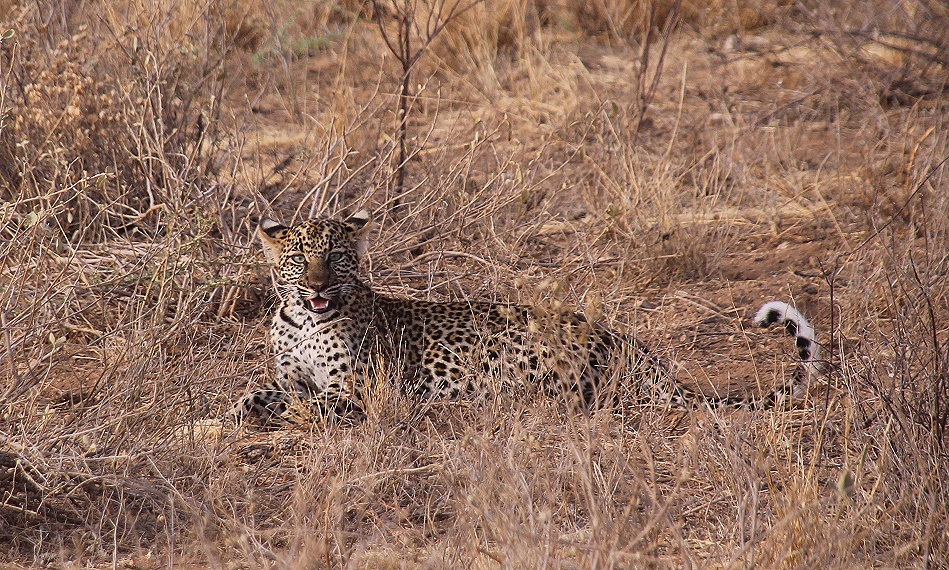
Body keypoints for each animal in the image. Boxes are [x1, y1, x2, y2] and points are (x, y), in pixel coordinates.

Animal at [236, 209, 820, 425]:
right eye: (298, 259)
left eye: (336, 257)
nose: (317, 286)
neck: (303, 321)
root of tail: (638, 353)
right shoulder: (291, 375)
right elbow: (267, 391)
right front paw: (247, 405)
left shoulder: (354, 388)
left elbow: (308, 403)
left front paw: (278, 413)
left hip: (521, 355)